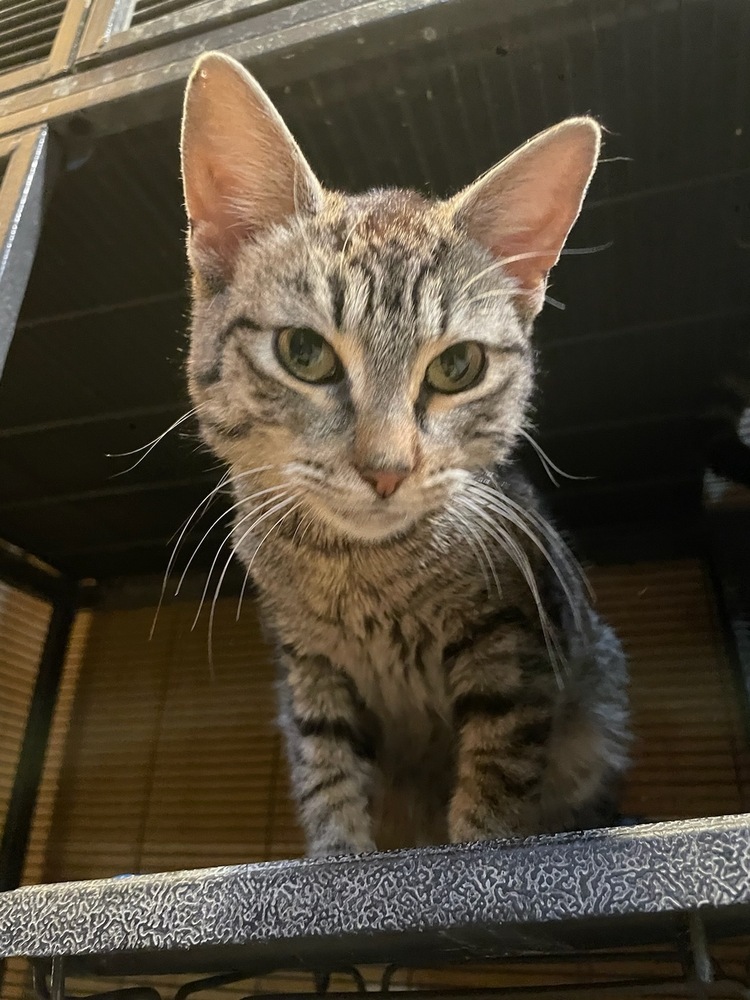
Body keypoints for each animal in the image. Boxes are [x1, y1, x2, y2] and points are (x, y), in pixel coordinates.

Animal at [179, 52, 632, 852]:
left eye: (457, 367)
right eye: (303, 353)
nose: (386, 470)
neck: (358, 571)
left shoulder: (515, 643)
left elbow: (496, 779)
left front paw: (478, 844)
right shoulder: (309, 668)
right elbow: (326, 771)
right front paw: (336, 854)